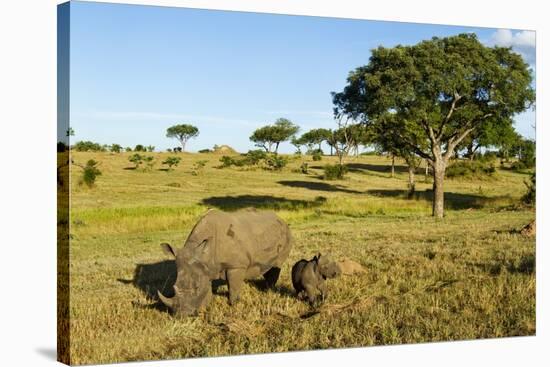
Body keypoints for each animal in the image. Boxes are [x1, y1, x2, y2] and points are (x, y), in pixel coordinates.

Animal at [157, 208, 294, 318]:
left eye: (196, 287)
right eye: (173, 287)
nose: (181, 315)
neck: (204, 253)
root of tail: (281, 219)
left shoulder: (236, 266)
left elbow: (233, 287)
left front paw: (233, 305)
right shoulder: (206, 267)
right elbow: (208, 287)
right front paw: (206, 306)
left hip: (287, 235)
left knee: (277, 265)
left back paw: (268, 291)